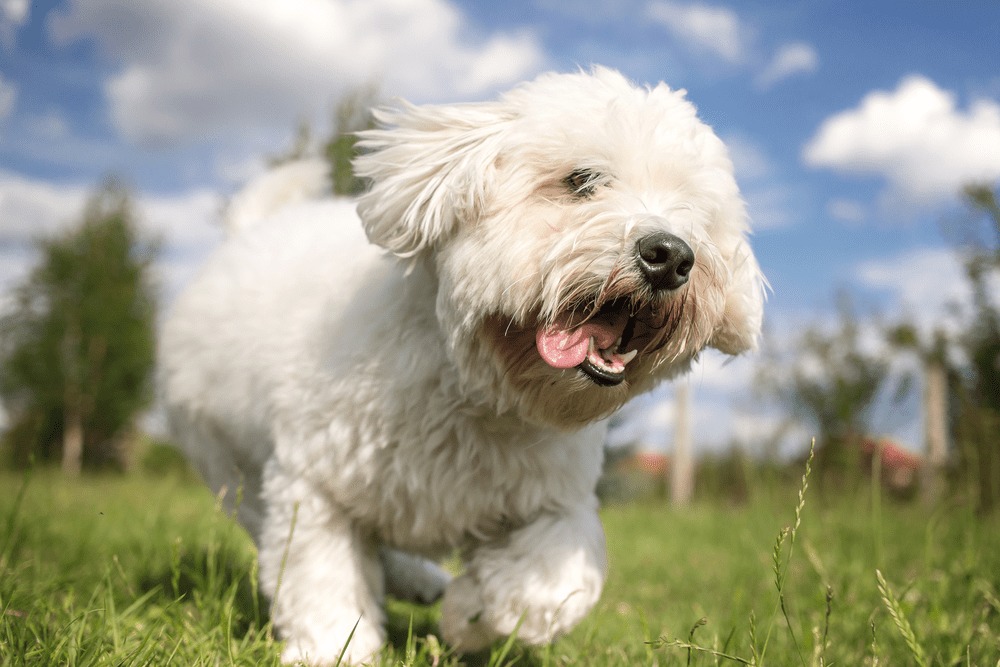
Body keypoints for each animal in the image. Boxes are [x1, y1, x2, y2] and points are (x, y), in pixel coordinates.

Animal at [158, 66, 764, 664]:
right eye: (581, 180)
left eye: (696, 215)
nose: (671, 254)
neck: (478, 393)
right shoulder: (312, 481)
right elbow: (322, 575)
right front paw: (333, 648)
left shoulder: (557, 500)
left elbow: (548, 584)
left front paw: (469, 616)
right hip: (231, 469)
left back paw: (425, 582)